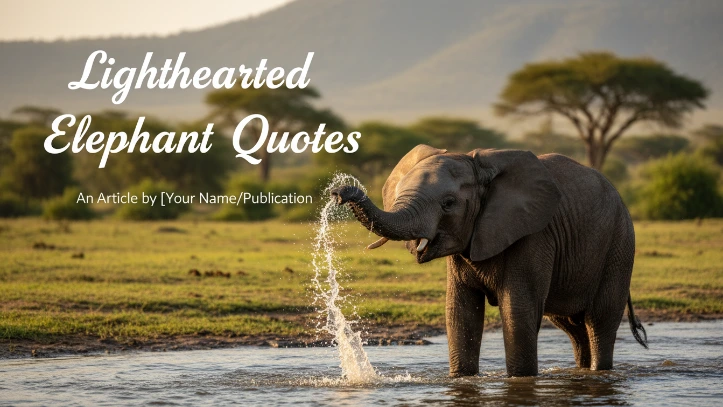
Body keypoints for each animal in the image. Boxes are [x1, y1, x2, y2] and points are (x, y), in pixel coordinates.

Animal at [330, 145, 648, 377]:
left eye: (448, 204)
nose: (339, 191)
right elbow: (460, 315)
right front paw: (462, 379)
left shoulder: (533, 235)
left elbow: (517, 314)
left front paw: (520, 380)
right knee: (572, 326)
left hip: (620, 243)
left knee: (599, 320)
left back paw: (599, 373)